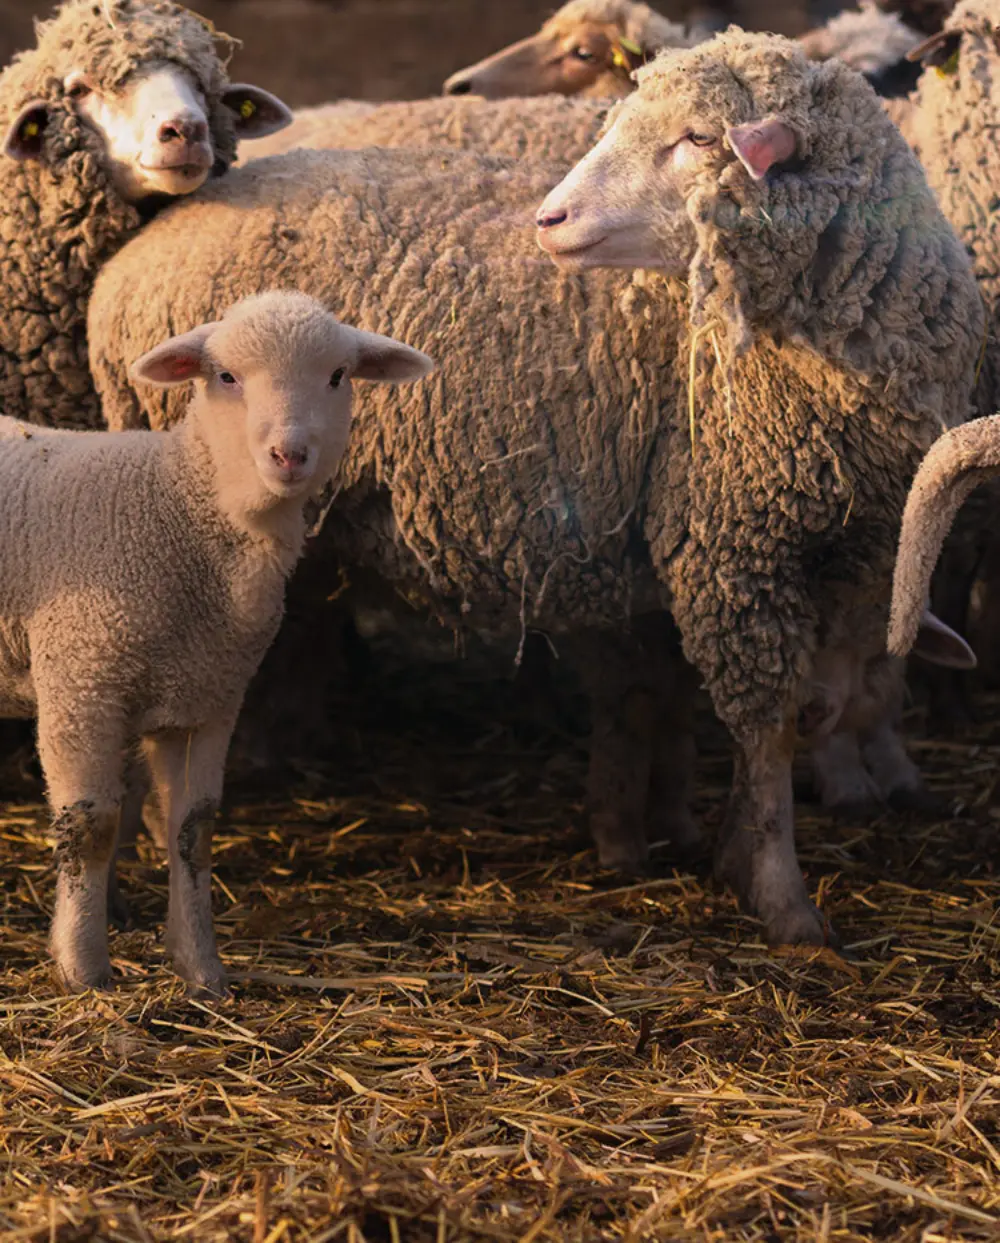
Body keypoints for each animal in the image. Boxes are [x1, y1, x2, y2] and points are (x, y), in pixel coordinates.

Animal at [0, 291, 433, 994]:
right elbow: (91, 828)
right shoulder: (80, 682)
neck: (179, 508)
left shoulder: (207, 699)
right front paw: (83, 968)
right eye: (226, 376)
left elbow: (193, 831)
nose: (290, 454)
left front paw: (201, 970)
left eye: (338, 376)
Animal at [85, 32, 982, 944]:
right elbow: (764, 730)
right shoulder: (729, 543)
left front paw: (693, 834)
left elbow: (723, 695)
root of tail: (147, 245)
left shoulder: (847, 544)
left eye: (700, 138)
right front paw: (780, 896)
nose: (549, 220)